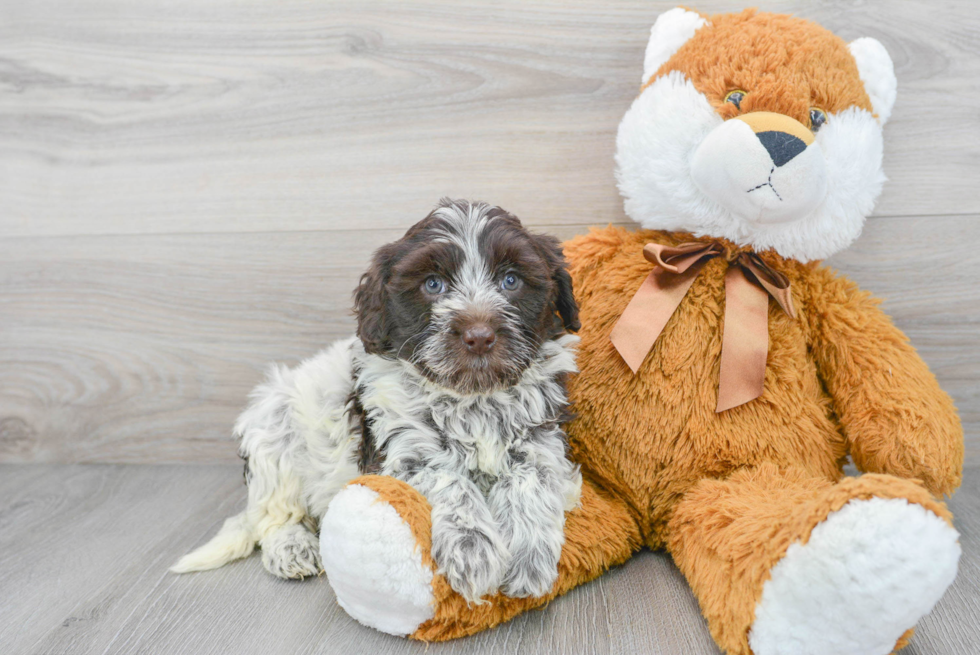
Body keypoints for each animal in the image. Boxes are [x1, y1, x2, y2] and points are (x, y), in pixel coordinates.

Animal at [170, 199, 580, 604]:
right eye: (433, 284)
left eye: (511, 280)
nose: (479, 336)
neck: (472, 398)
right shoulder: (400, 451)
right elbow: (448, 478)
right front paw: (472, 550)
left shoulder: (541, 435)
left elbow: (532, 480)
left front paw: (528, 557)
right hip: (272, 428)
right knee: (273, 514)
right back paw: (292, 548)